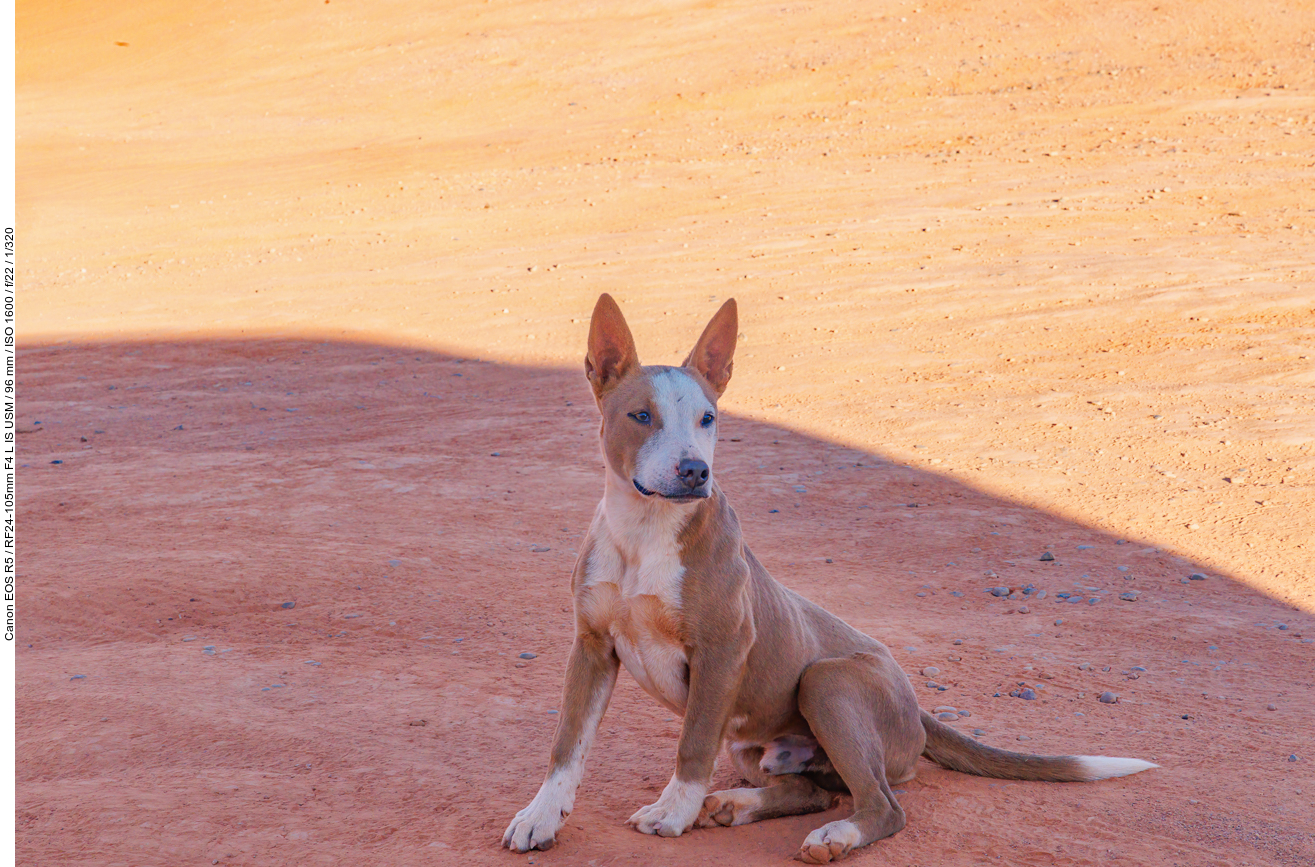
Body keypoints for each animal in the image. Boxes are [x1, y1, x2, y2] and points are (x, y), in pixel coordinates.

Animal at [497, 293, 1157, 863]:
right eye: (640, 416)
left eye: (708, 418)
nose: (694, 471)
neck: (644, 533)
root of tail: (916, 710)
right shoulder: (591, 646)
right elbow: (567, 745)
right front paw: (541, 817)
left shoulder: (722, 650)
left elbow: (691, 745)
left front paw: (672, 812)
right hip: (756, 746)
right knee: (814, 789)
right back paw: (735, 805)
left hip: (826, 683)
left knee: (883, 806)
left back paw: (832, 835)